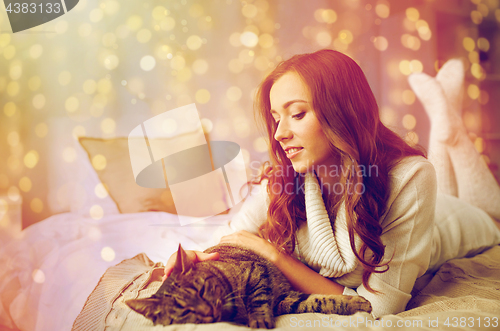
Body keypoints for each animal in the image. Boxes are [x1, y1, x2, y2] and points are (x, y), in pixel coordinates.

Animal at [127, 244, 374, 330]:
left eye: (202, 290)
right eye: (184, 312)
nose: (208, 311)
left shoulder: (257, 272)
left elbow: (320, 300)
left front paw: (358, 302)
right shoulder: (284, 300)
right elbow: (315, 301)